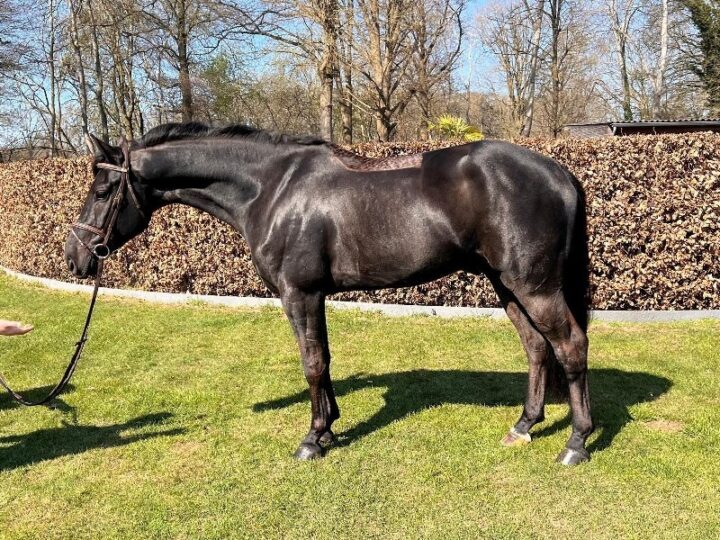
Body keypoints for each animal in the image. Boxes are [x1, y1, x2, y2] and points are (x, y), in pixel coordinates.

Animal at [65, 122, 593, 466]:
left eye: (102, 189)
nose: (75, 258)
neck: (271, 189)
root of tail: (559, 174)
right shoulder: (314, 295)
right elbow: (323, 359)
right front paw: (330, 426)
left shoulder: (299, 293)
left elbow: (313, 362)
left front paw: (312, 439)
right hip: (506, 285)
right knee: (536, 348)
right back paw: (523, 426)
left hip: (534, 286)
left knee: (570, 346)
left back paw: (576, 444)